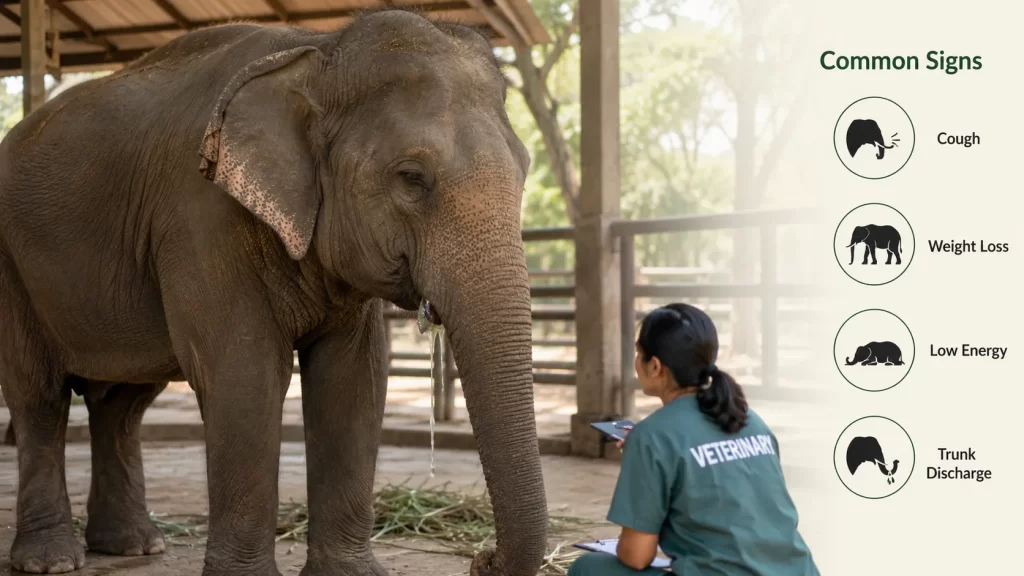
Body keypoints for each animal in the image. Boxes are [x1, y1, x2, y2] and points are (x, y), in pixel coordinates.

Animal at [0, 10, 546, 576]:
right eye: (411, 178)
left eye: (526, 169)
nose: (480, 558)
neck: (317, 53)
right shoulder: (200, 215)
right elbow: (247, 370)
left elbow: (355, 375)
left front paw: (348, 574)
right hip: (11, 267)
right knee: (39, 397)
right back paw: (51, 561)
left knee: (123, 404)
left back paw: (136, 546)